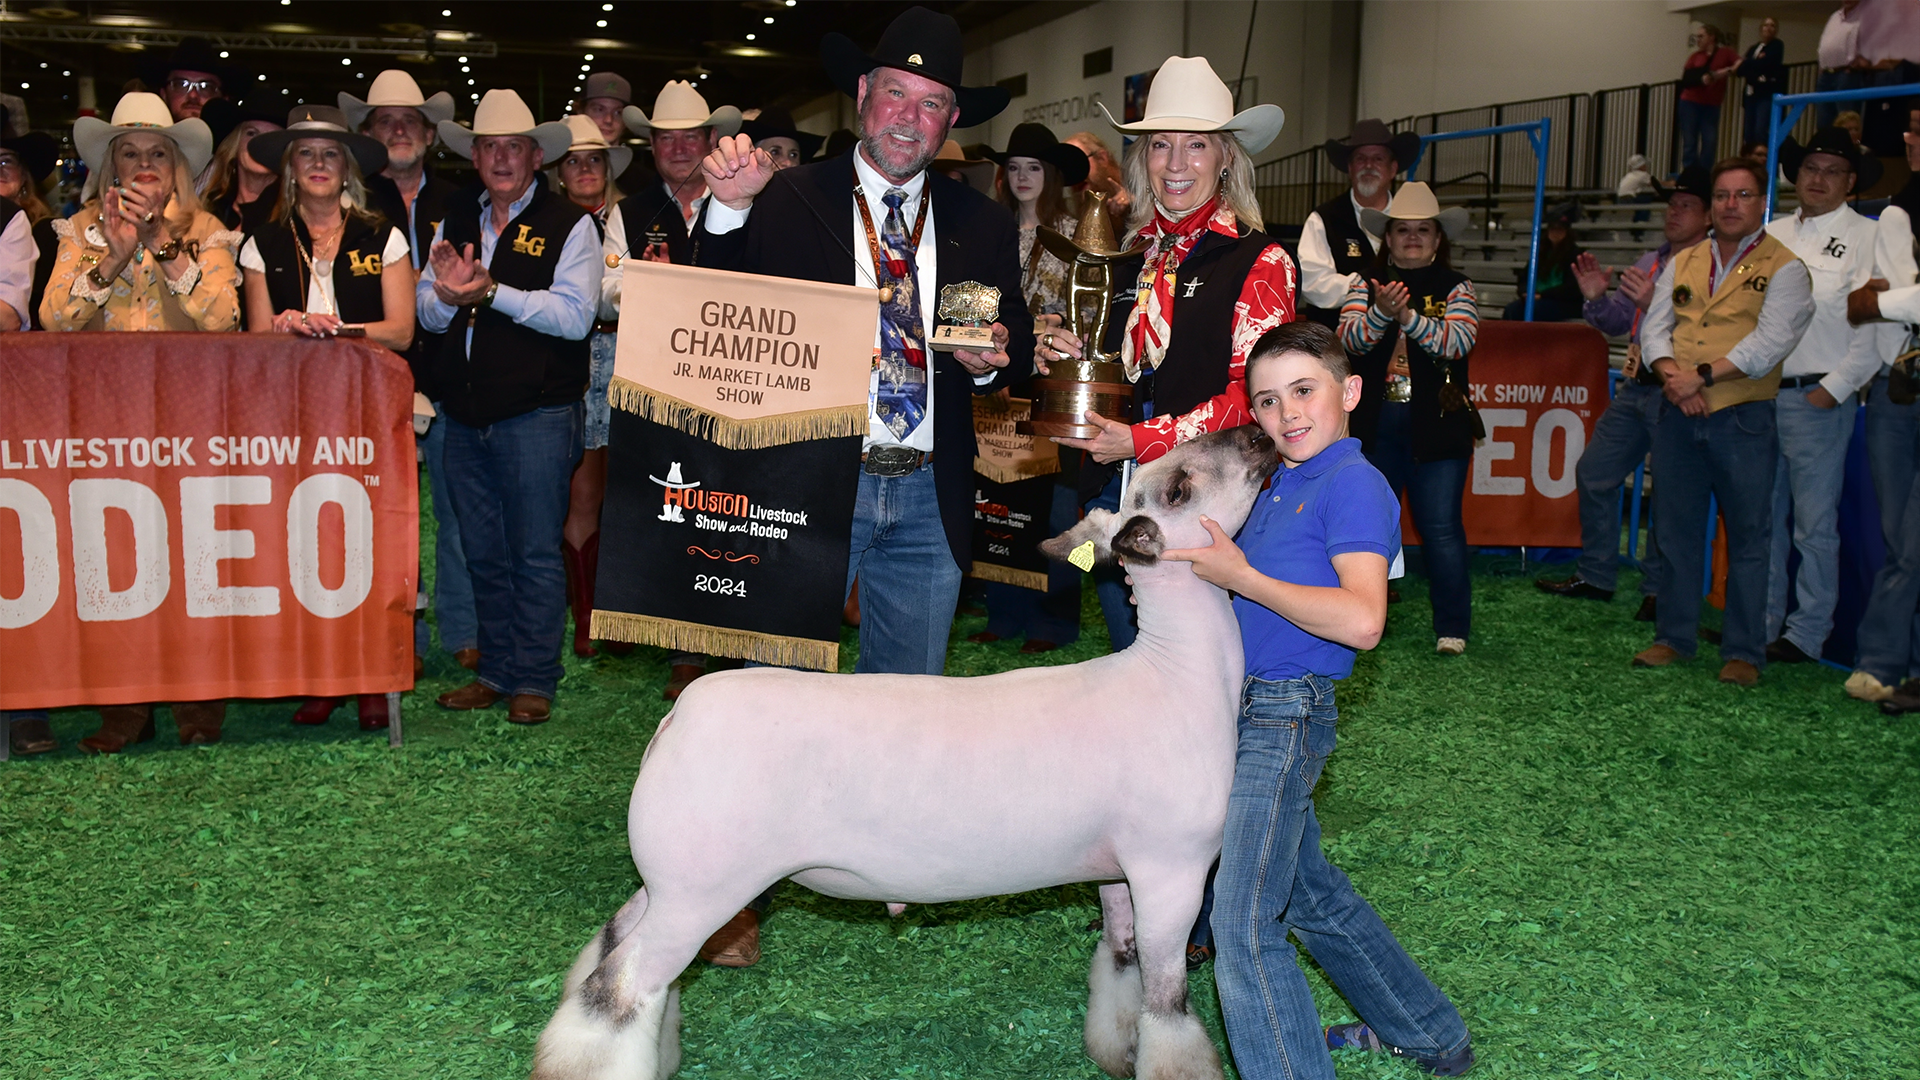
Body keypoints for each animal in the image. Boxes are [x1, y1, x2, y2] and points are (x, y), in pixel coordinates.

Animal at [529, 420, 1274, 1076]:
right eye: (1178, 487)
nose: (1259, 434)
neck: (1173, 670)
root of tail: (680, 717)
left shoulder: (1119, 873)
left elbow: (1122, 965)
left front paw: (1116, 1056)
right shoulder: (1172, 868)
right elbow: (1168, 1007)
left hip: (673, 876)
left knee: (616, 944)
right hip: (701, 888)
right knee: (617, 991)